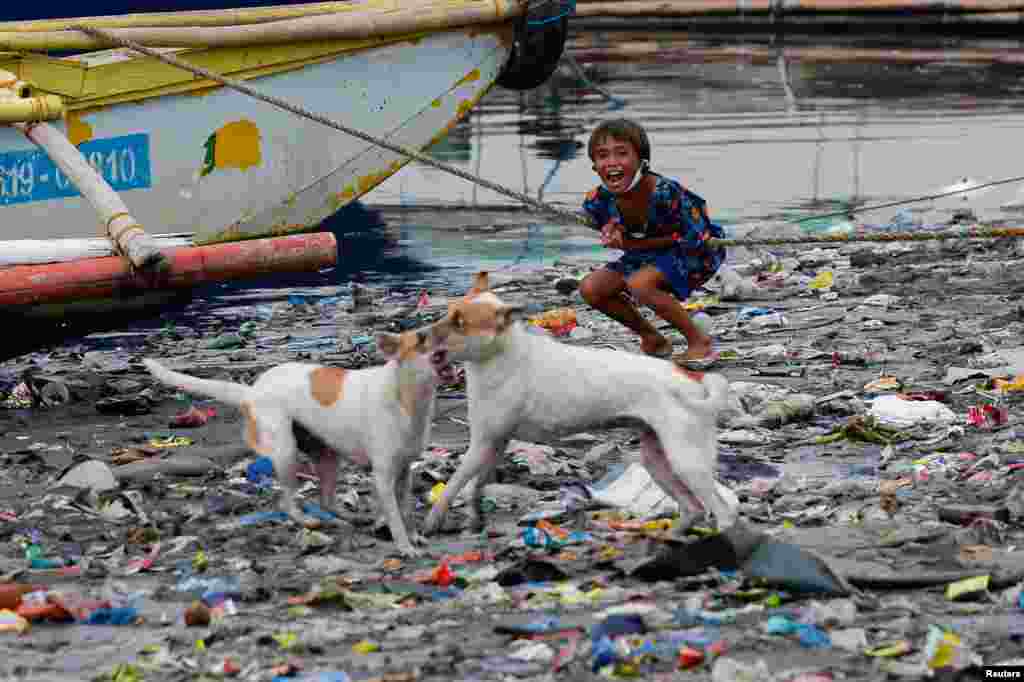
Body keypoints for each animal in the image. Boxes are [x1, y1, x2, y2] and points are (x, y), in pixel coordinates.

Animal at [142, 327, 454, 557]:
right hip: (285, 452)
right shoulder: (383, 476)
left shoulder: (404, 472)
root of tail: (251, 392)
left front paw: (414, 536)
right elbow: (396, 517)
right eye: (422, 339)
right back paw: (306, 520)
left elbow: (407, 510)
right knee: (287, 502)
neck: (407, 396)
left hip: (328, 457)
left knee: (326, 500)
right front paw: (404, 546)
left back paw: (349, 518)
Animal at [419, 274, 741, 532]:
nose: (420, 335)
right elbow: (475, 485)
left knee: (721, 511)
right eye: (447, 313)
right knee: (693, 508)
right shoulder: (494, 443)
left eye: (460, 323)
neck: (500, 354)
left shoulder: (481, 443)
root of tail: (691, 378)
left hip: (686, 461)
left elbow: (455, 483)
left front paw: (433, 520)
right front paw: (474, 517)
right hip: (658, 460)